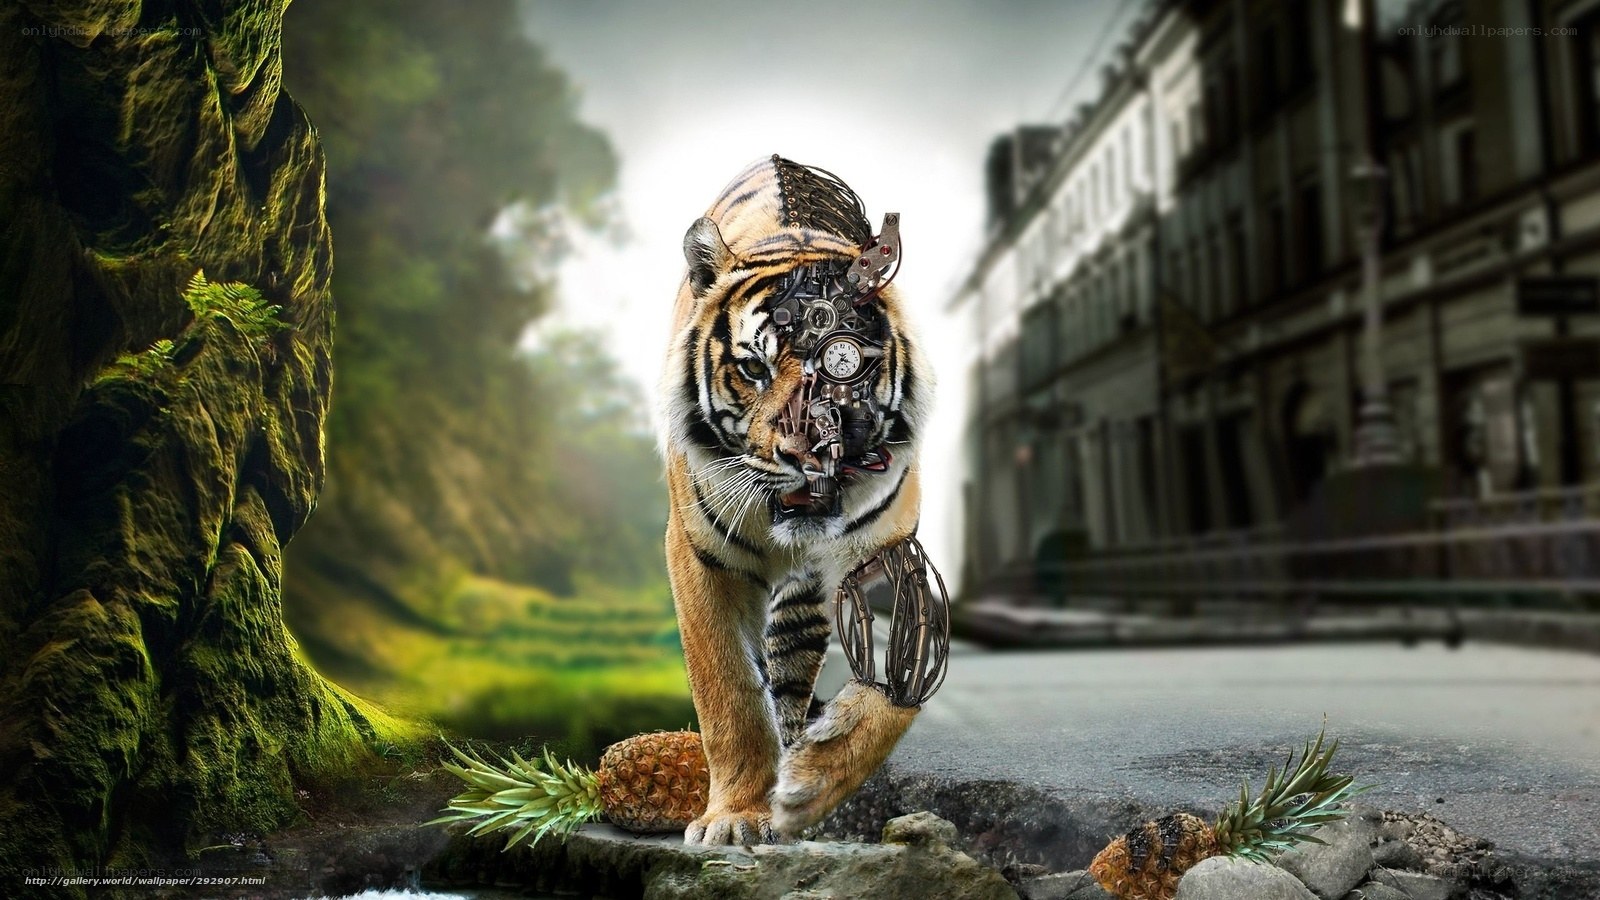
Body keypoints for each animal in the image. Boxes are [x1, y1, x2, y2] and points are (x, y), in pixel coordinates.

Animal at [658, 155, 933, 845]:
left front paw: (812, 782)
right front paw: (734, 816)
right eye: (754, 369)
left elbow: (893, 689)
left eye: (844, 365)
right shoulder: (700, 557)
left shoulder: (892, 557)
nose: (807, 455)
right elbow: (729, 692)